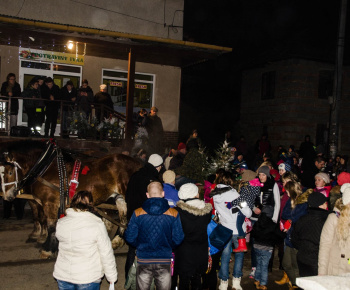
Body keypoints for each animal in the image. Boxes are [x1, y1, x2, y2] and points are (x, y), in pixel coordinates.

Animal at [1, 140, 141, 258]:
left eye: (9, 172)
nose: (7, 196)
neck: (46, 167)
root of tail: (137, 164)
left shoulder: (49, 203)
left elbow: (51, 226)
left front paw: (47, 249)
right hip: (119, 196)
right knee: (123, 215)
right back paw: (117, 240)